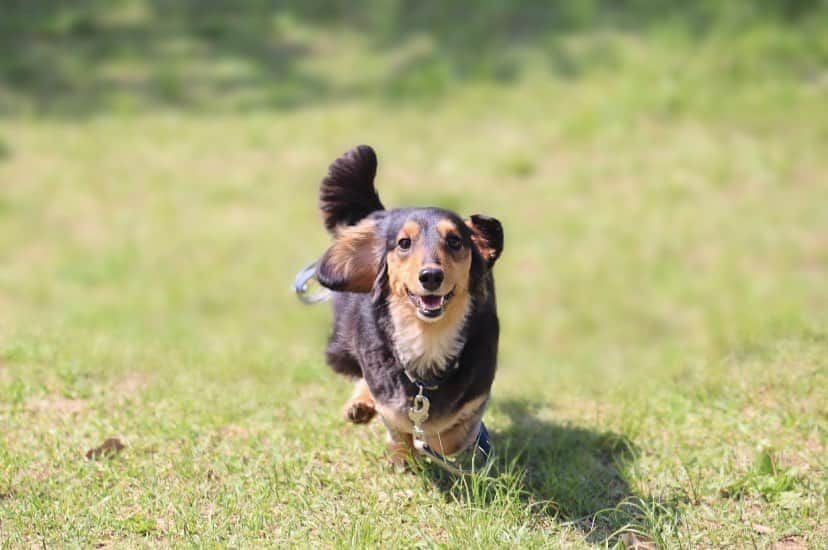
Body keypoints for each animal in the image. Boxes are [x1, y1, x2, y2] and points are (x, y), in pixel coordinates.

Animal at [310, 144, 504, 468]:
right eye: (403, 243)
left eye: (455, 241)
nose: (431, 276)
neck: (428, 337)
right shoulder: (386, 385)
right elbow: (396, 418)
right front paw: (404, 456)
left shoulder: (476, 394)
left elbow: (450, 434)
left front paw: (434, 442)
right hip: (343, 343)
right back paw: (360, 405)